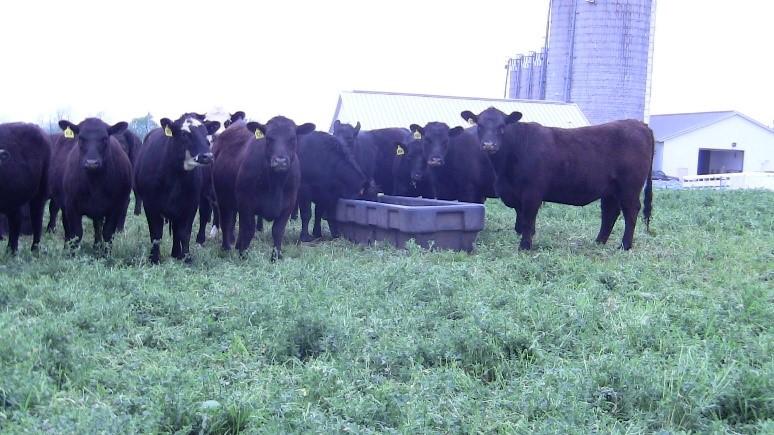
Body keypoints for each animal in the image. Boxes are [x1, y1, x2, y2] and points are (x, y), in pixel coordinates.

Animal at [54, 117, 132, 250]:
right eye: (80, 138)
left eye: (105, 138)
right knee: (67, 229)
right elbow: (76, 235)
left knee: (97, 226)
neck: (94, 184)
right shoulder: (71, 206)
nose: (92, 163)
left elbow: (108, 233)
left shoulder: (116, 207)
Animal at [134, 114, 221, 262]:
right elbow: (156, 234)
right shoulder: (150, 204)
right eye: (184, 134)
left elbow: (184, 233)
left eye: (205, 133)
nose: (207, 156)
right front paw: (154, 258)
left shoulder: (191, 204)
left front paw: (187, 257)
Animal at [212, 116, 316, 260]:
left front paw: (275, 257)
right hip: (223, 198)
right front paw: (243, 256)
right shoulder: (246, 203)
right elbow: (249, 230)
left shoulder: (288, 206)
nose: (280, 161)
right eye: (268, 138)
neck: (275, 184)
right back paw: (226, 248)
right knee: (226, 222)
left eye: (292, 139)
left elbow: (278, 231)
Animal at [460, 107, 656, 250]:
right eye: (479, 126)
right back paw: (599, 242)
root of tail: (639, 124)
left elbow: (528, 220)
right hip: (610, 189)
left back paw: (625, 246)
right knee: (610, 212)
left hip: (629, 187)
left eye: (502, 127)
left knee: (631, 211)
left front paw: (525, 246)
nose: (488, 145)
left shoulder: (532, 193)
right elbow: (522, 218)